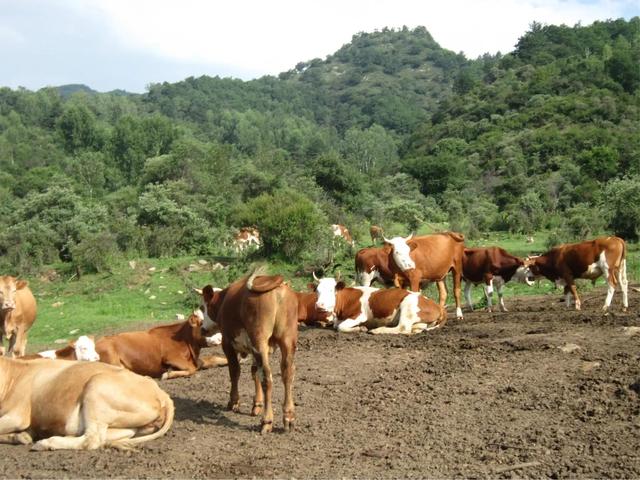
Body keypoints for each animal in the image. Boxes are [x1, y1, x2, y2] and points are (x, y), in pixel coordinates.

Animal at [0, 356, 174, 450]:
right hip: (127, 426)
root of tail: (161, 393)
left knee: (91, 440)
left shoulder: (18, 415)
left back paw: (46, 443)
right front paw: (21, 436)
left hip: (96, 387)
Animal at [94, 312, 226, 378]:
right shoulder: (171, 357)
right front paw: (168, 374)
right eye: (204, 324)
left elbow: (213, 358)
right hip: (111, 358)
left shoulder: (195, 359)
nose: (221, 338)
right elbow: (192, 369)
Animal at [199, 268, 298, 434]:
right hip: (287, 340)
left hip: (260, 340)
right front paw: (256, 404)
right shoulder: (256, 349)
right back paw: (289, 417)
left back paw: (267, 420)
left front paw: (234, 402)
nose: (202, 328)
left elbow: (234, 371)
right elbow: (254, 372)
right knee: (287, 374)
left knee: (267, 378)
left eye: (203, 307)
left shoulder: (228, 343)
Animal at [312, 274, 444, 334]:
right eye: (317, 291)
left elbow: (340, 327)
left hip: (408, 304)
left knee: (403, 328)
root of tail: (437, 305)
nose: (319, 305)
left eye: (331, 290)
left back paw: (376, 330)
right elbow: (336, 325)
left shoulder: (359, 315)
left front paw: (361, 328)